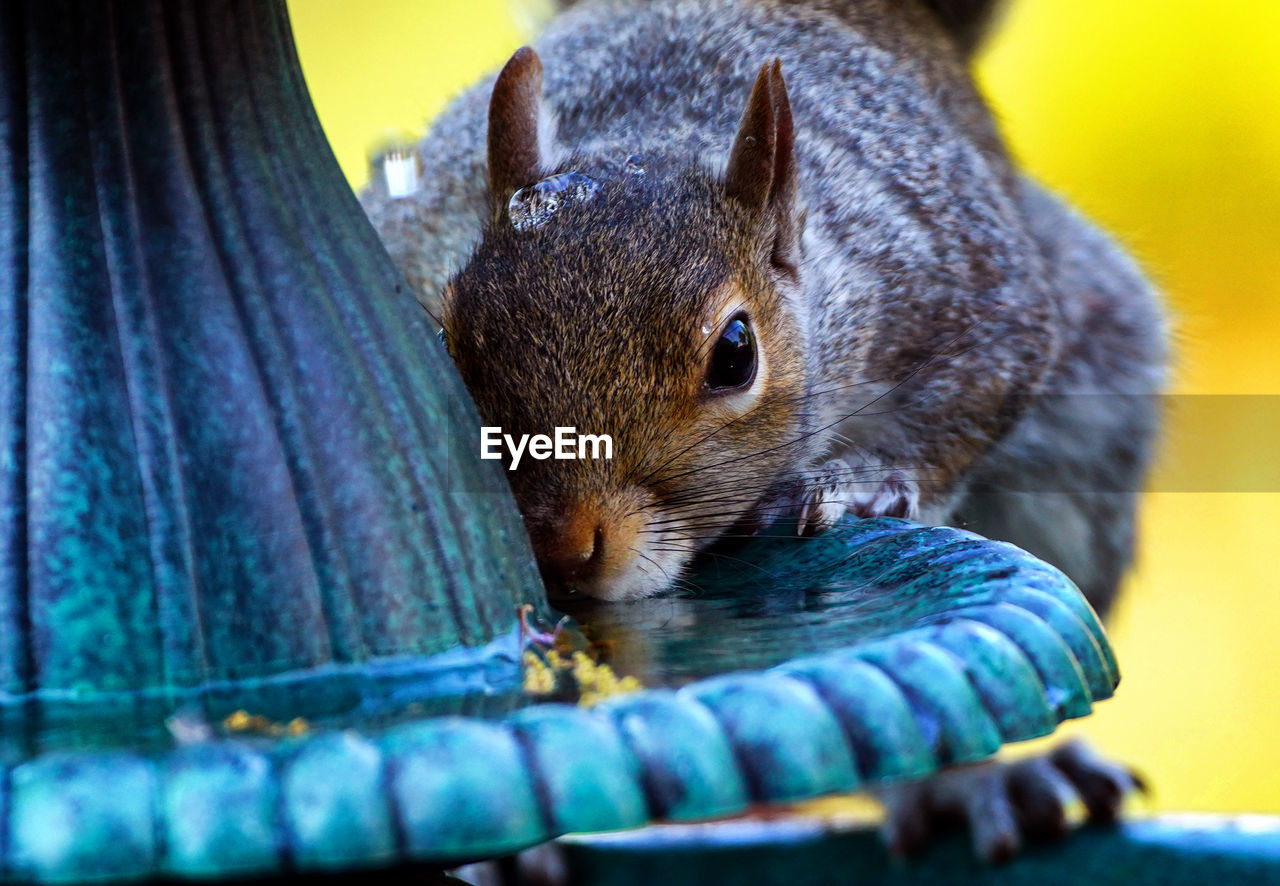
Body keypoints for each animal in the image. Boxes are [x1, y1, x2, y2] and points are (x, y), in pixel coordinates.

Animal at [360, 0, 1172, 860]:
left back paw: (975, 782)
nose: (560, 550)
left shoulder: (956, 274)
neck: (656, 126)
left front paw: (855, 485)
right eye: (447, 338)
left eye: (736, 353)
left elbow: (983, 383)